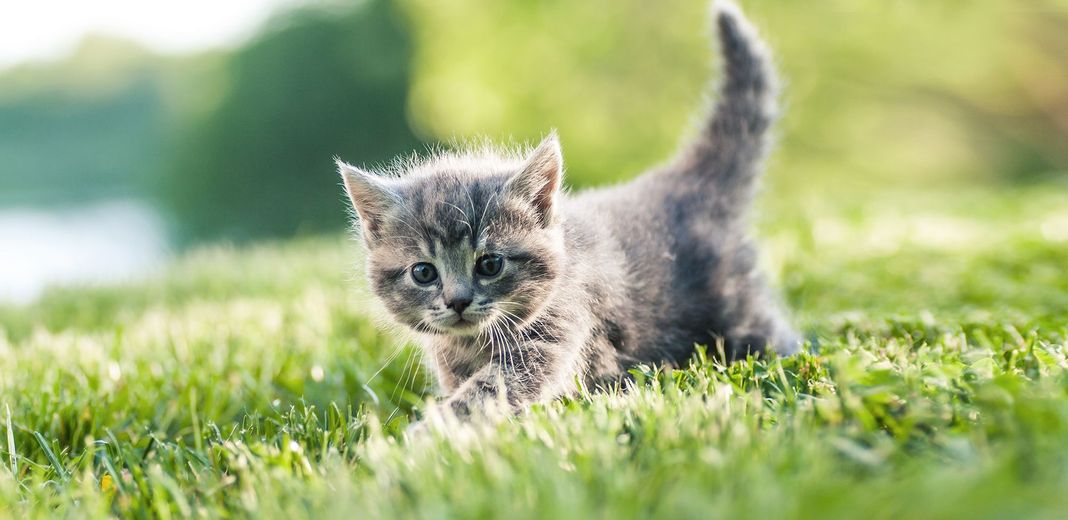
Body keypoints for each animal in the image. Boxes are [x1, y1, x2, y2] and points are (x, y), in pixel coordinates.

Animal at [337, 0, 798, 422]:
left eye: (490, 264)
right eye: (423, 272)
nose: (458, 301)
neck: (471, 344)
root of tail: (680, 181)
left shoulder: (557, 332)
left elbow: (489, 393)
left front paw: (431, 437)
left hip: (740, 311)